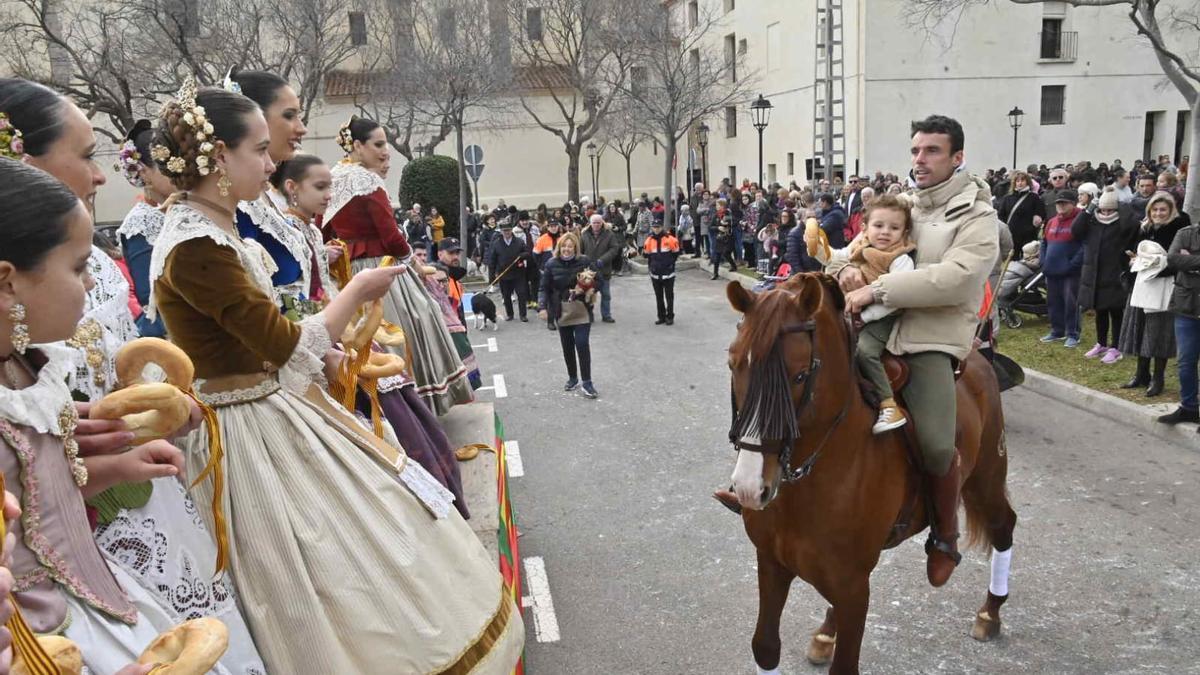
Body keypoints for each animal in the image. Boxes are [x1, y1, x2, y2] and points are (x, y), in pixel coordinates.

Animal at [720, 275, 1012, 672]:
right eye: (733, 364)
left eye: (799, 375)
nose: (750, 488)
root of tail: (980, 359)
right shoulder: (772, 563)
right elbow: (765, 646)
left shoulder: (853, 587)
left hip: (986, 480)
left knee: (1003, 526)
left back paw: (990, 612)